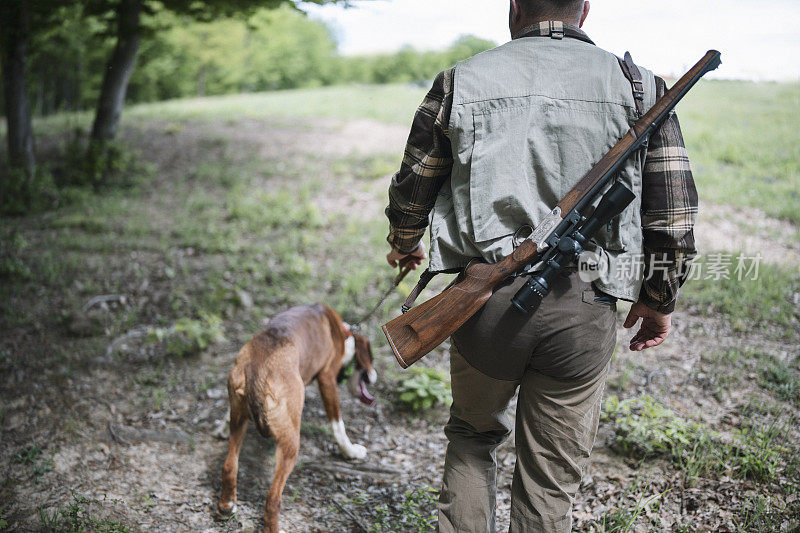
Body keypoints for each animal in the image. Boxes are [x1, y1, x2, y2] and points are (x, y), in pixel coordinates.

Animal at [216, 304, 378, 532]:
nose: (374, 376)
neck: (343, 332)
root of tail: (258, 369)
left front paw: (221, 426)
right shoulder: (327, 379)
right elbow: (338, 425)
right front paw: (350, 451)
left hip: (240, 424)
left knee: (230, 466)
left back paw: (226, 505)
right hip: (291, 445)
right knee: (273, 498)